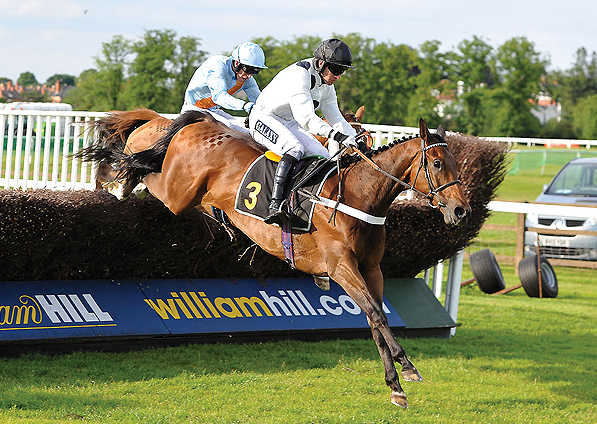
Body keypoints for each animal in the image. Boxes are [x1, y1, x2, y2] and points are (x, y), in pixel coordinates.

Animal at [79, 109, 470, 408]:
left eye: (456, 162)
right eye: (437, 163)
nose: (461, 210)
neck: (357, 197)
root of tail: (199, 122)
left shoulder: (371, 269)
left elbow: (376, 318)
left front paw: (395, 384)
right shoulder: (340, 267)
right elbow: (377, 314)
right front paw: (407, 367)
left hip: (190, 196)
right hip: (177, 193)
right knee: (141, 166)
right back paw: (117, 182)